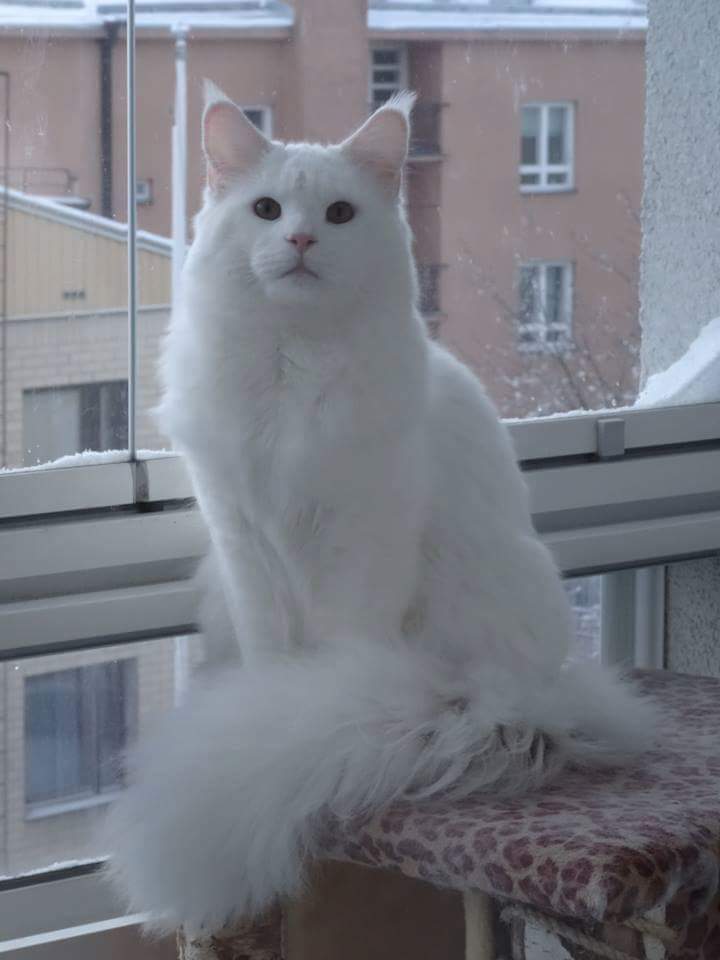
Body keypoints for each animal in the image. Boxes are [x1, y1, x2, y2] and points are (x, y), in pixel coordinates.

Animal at [105, 85, 657, 935]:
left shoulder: (362, 535)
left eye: (339, 214)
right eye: (266, 209)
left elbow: (340, 650)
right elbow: (271, 654)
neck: (291, 368)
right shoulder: (243, 537)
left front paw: (301, 713)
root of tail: (530, 699)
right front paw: (270, 707)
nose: (300, 238)